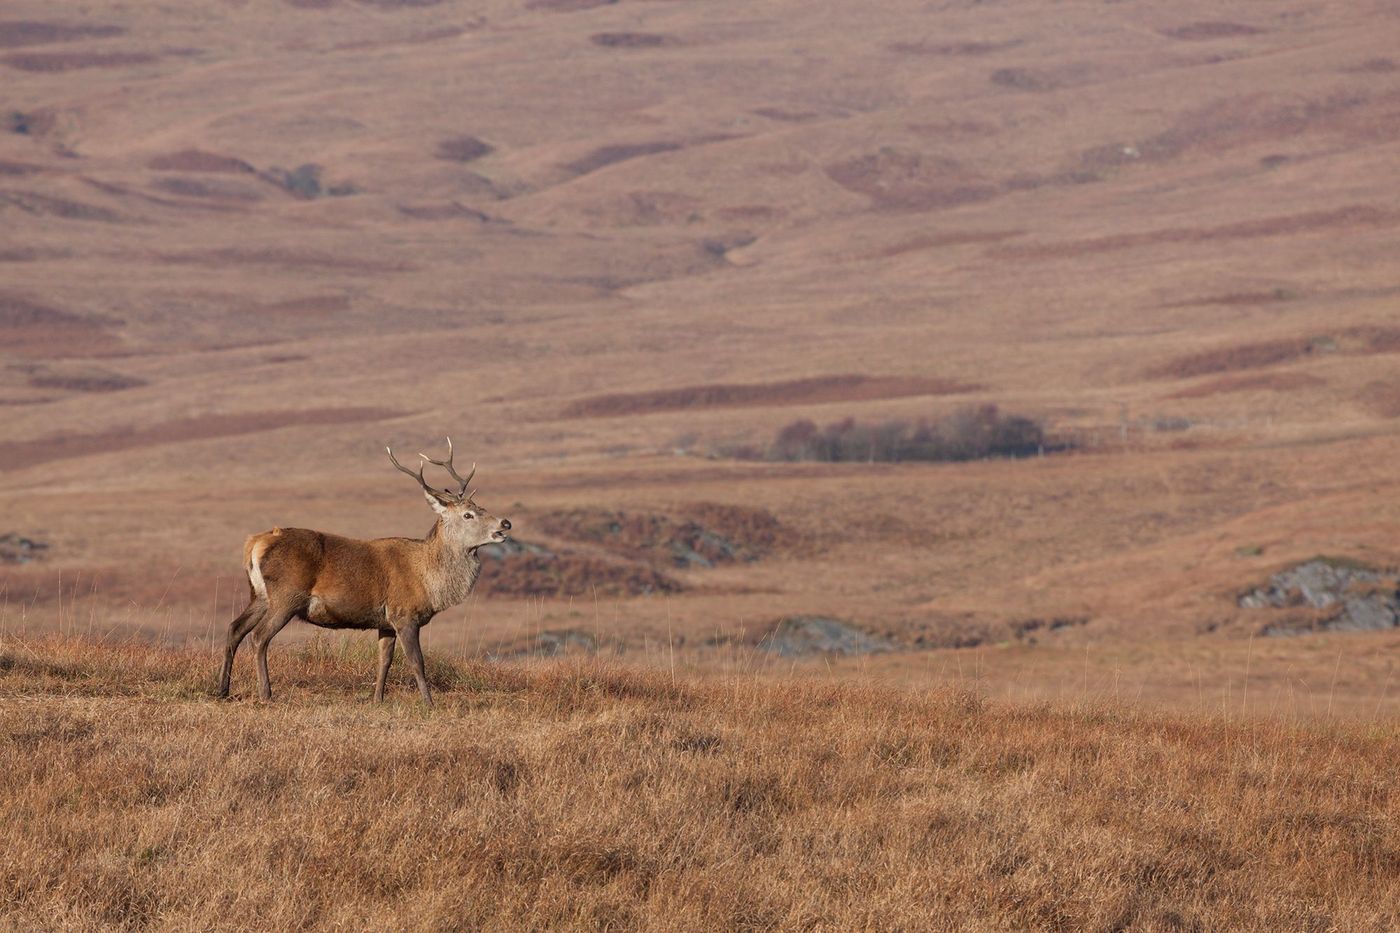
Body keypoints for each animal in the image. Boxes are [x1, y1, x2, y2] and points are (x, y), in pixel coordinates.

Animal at [216, 438, 510, 705]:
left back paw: (223, 689)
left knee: (234, 628)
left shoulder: (386, 622)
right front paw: (429, 703)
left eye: (481, 507)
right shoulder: (404, 614)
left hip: (259, 595)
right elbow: (416, 661)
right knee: (259, 637)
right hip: (286, 596)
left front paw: (378, 699)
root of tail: (255, 543)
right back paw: (266, 694)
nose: (505, 523)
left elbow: (385, 661)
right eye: (468, 514)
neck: (428, 581)